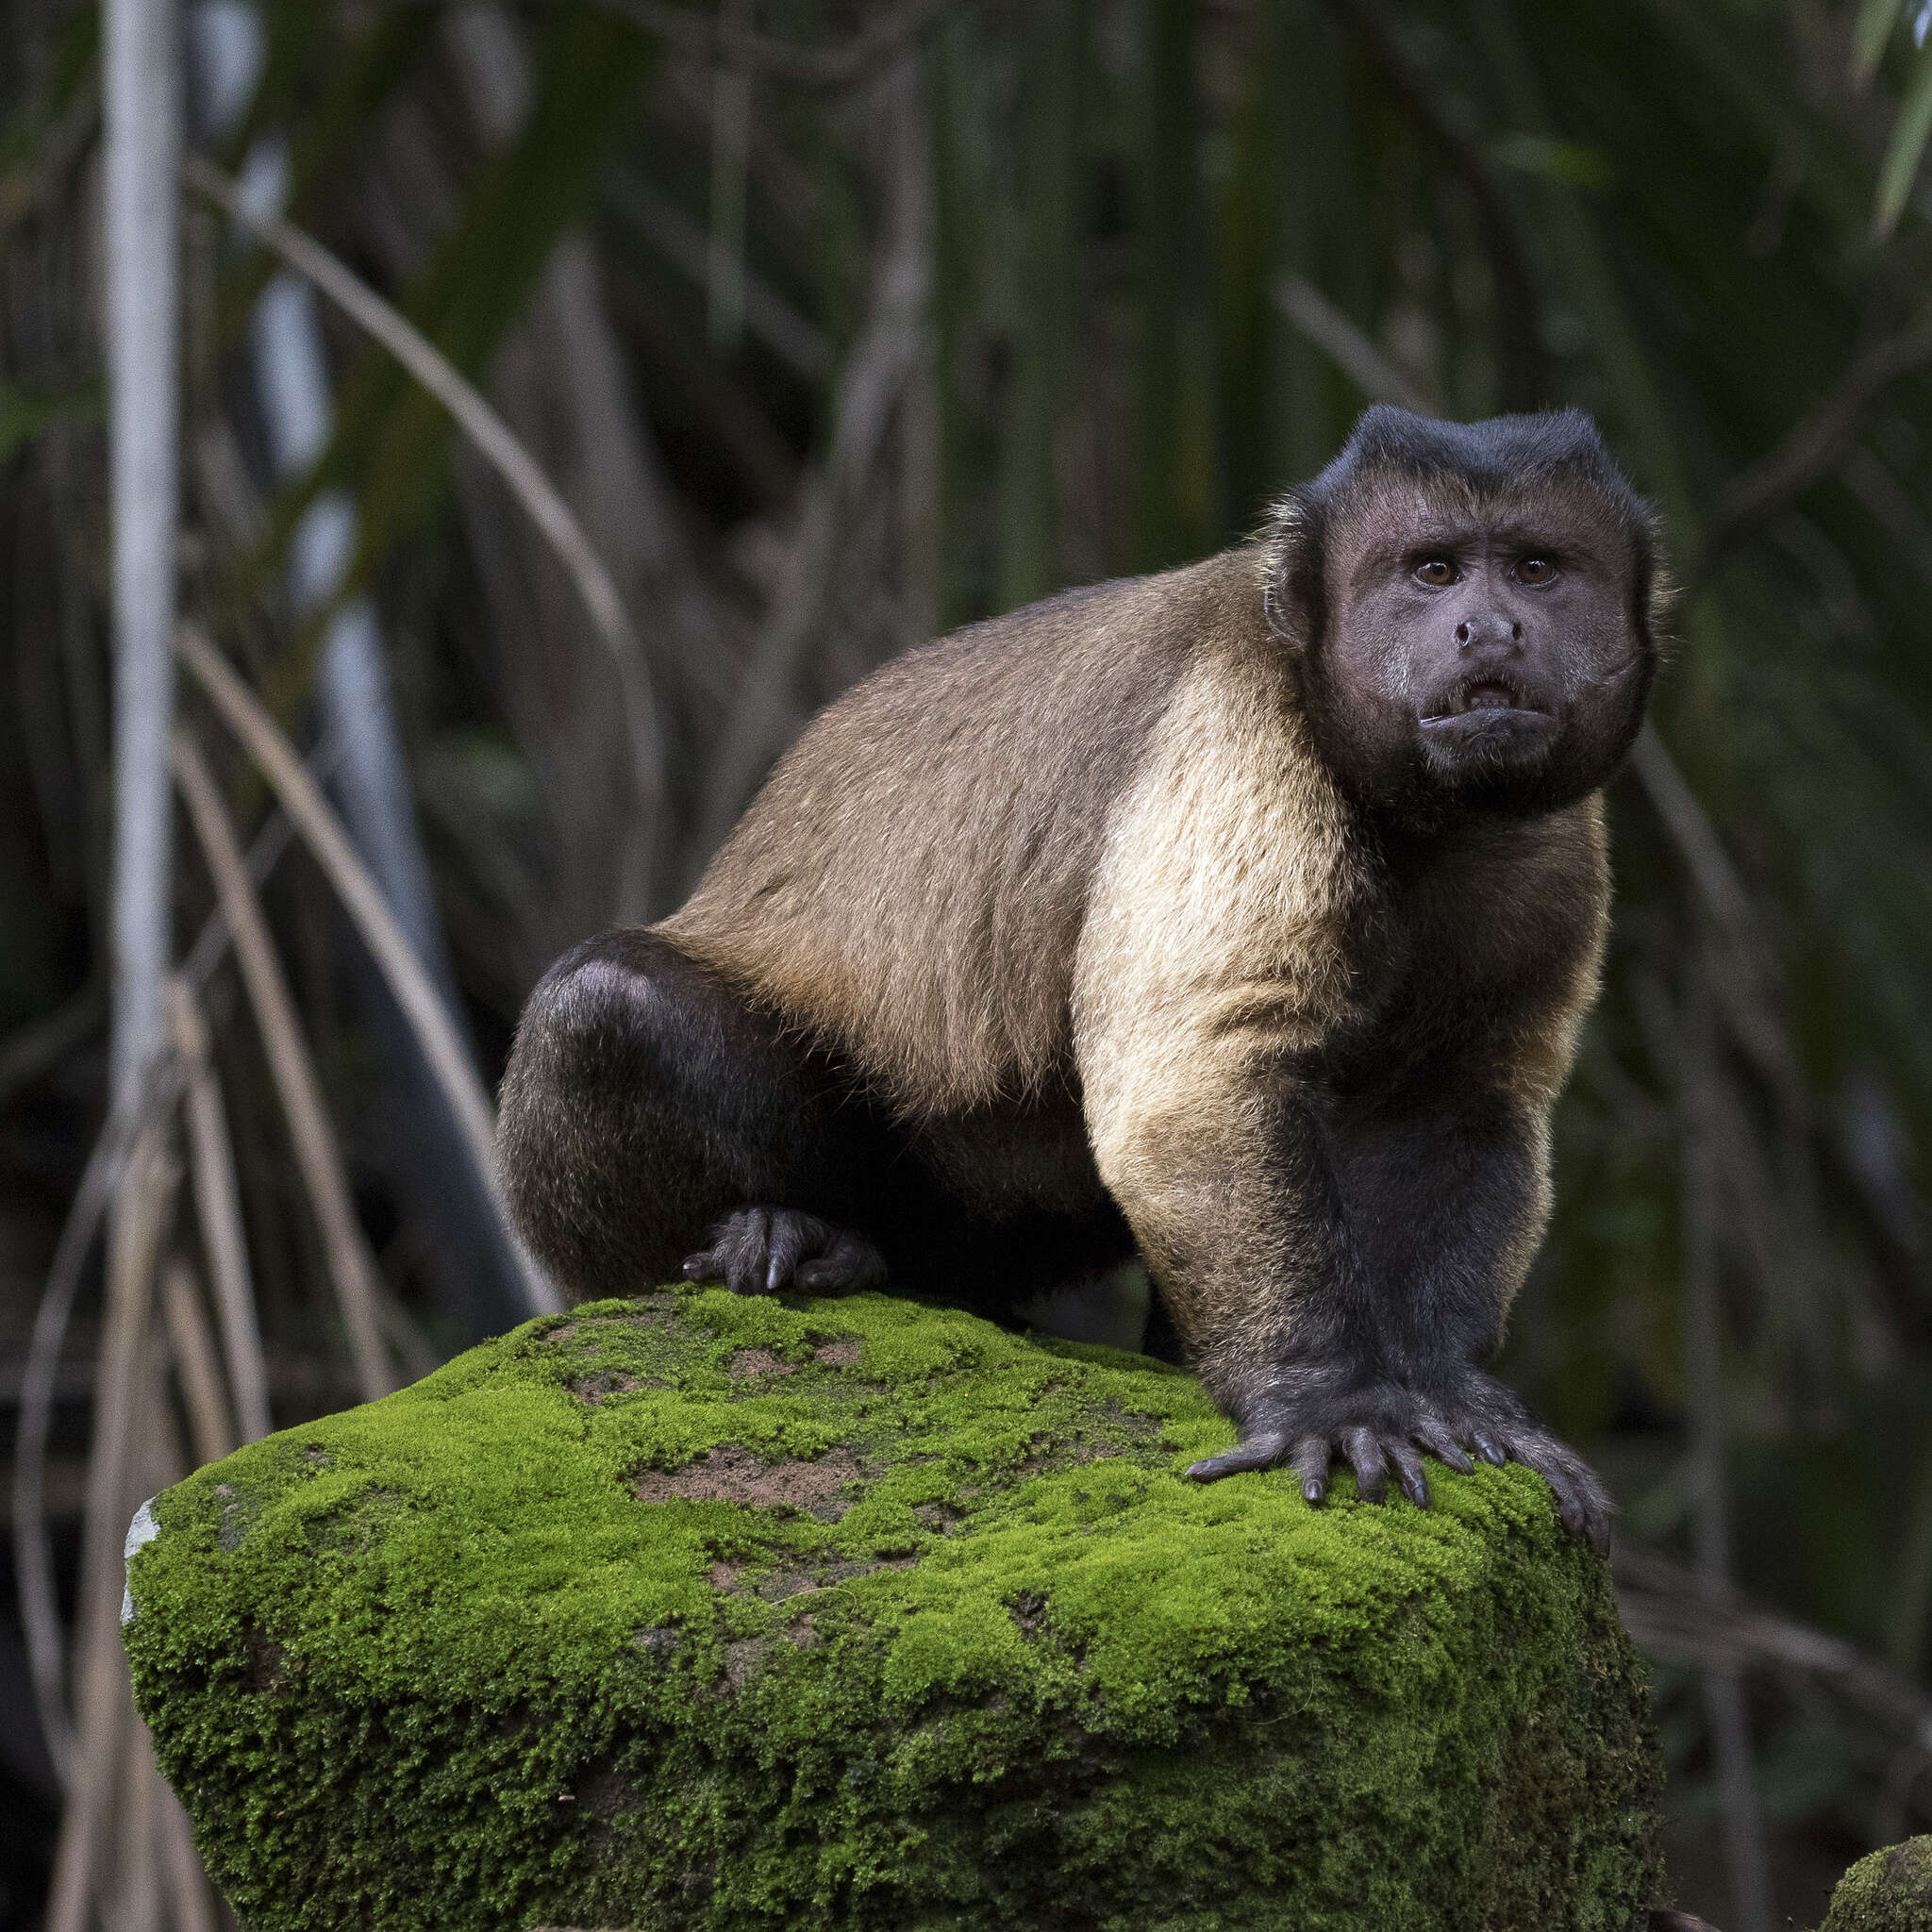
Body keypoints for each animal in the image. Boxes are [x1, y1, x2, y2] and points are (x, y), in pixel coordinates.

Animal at [494, 408, 1661, 1553]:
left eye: (1533, 568)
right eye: (1431, 571)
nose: (1488, 627)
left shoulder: (1551, 848)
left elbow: (1459, 1099)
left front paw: (1446, 1388)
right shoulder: (1238, 736)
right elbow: (1187, 1088)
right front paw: (1329, 1398)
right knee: (599, 1006)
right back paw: (790, 1232)